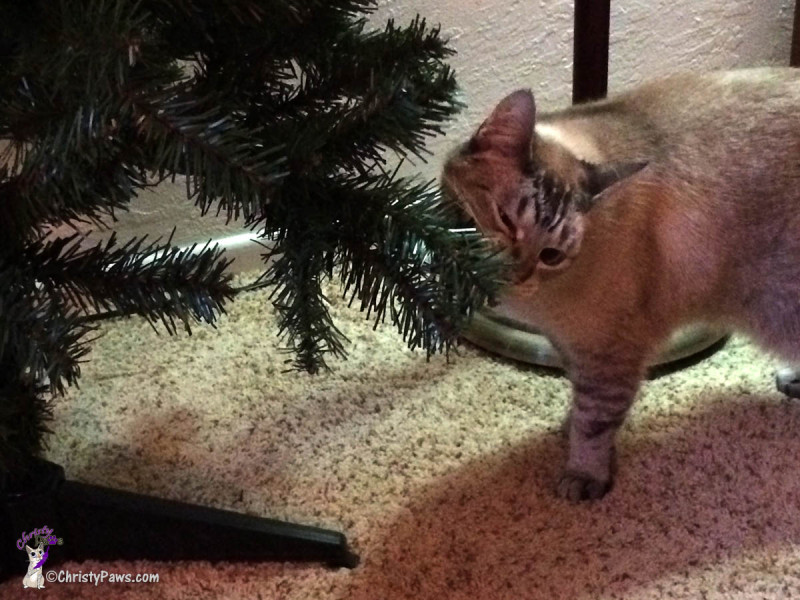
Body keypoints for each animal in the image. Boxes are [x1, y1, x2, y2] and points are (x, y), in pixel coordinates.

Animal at [440, 68, 800, 502]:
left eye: (550, 255)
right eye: (505, 220)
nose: (518, 275)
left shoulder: (610, 354)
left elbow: (595, 422)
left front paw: (584, 473)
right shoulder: (570, 346)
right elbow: (579, 401)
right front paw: (571, 431)